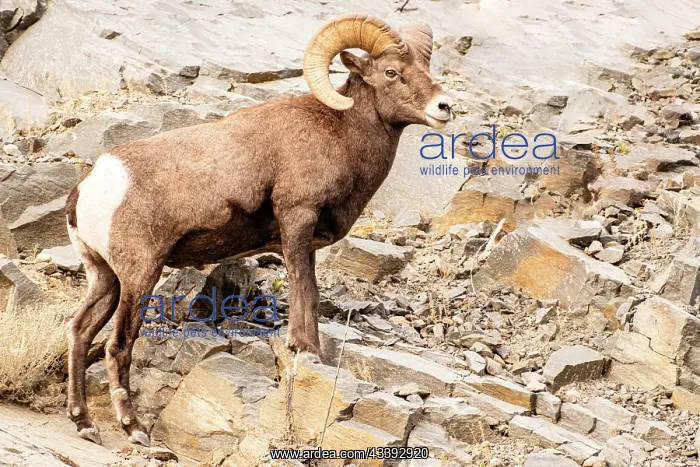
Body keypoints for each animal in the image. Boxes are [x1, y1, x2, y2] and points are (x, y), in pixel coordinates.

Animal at [64, 13, 454, 446]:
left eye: (426, 69)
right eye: (390, 72)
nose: (444, 107)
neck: (341, 132)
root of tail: (92, 186)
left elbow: (309, 294)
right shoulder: (297, 219)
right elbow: (305, 288)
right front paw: (308, 351)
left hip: (105, 277)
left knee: (80, 332)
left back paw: (84, 423)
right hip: (139, 275)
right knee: (118, 345)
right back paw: (134, 428)